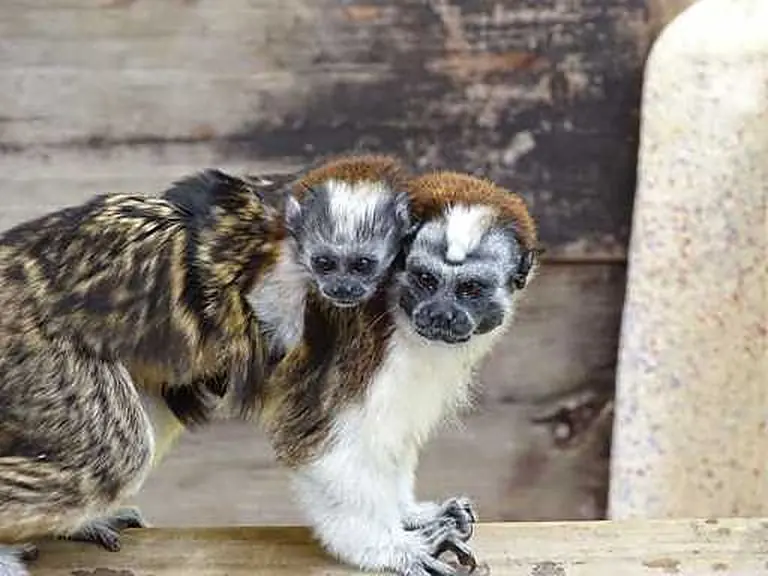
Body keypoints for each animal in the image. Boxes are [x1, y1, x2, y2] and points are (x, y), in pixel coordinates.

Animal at [258, 170, 539, 576]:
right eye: (426, 280)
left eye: (470, 289)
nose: (440, 315)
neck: (393, 309)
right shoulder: (362, 351)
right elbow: (317, 448)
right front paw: (389, 548)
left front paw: (411, 514)